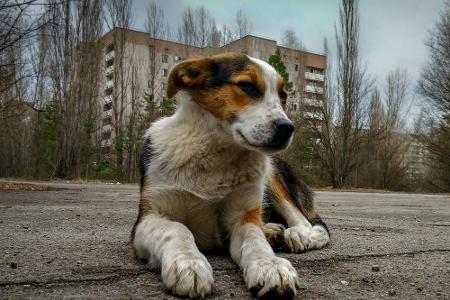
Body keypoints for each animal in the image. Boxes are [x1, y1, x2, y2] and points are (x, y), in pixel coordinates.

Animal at [132, 52, 328, 298]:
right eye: (247, 86)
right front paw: (188, 263)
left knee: (306, 221)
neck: (217, 154)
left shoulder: (242, 218)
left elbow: (255, 242)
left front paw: (270, 265)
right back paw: (273, 230)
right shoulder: (147, 218)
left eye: (283, 96)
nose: (287, 128)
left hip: (271, 174)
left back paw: (299, 235)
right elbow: (176, 228)